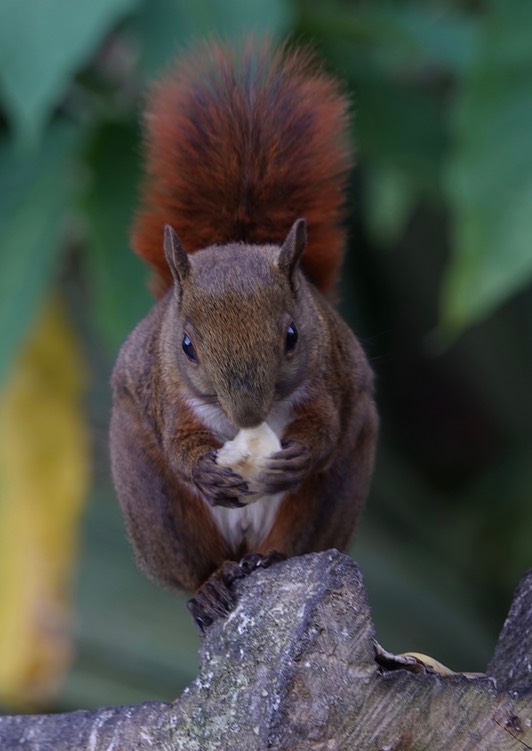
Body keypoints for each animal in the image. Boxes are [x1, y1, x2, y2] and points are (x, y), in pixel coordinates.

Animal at [110, 38, 378, 632]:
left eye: (293, 335)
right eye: (187, 346)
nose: (248, 417)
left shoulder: (326, 380)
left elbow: (325, 426)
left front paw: (299, 453)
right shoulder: (169, 395)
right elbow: (180, 443)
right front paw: (205, 472)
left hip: (329, 499)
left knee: (293, 538)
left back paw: (270, 558)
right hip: (158, 509)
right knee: (196, 563)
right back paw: (210, 588)